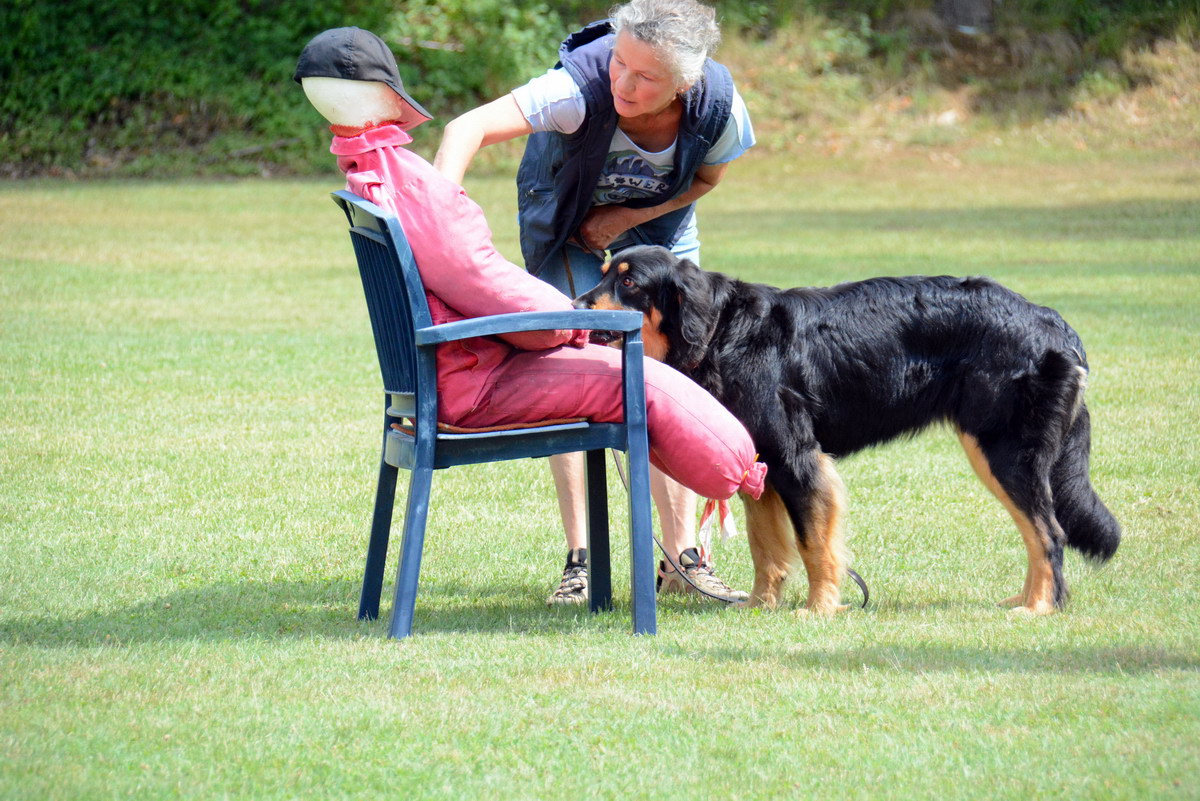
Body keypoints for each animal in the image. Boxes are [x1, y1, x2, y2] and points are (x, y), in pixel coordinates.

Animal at [576, 244, 1118, 613]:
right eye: (603, 275)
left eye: (630, 283)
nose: (577, 306)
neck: (722, 334)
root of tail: (1052, 322)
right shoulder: (759, 464)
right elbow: (766, 547)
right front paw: (759, 607)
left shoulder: (797, 459)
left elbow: (815, 544)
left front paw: (819, 609)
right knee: (1039, 531)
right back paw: (1025, 601)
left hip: (1004, 449)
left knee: (1048, 531)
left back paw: (1038, 607)